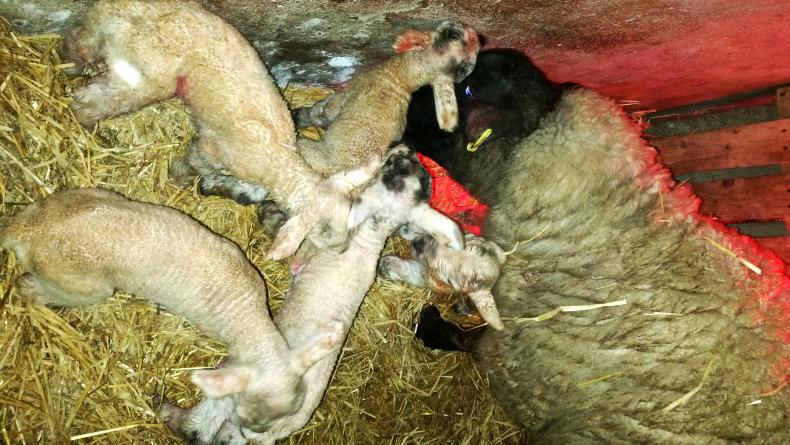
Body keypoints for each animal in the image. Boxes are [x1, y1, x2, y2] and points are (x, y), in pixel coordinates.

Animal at [0, 188, 344, 442]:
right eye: (242, 410)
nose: (252, 433)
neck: (247, 318)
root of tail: (28, 231)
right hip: (85, 286)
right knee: (56, 292)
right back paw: (29, 289)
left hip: (81, 196)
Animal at [65, 0, 351, 260]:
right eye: (324, 232)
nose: (341, 252)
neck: (278, 159)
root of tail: (128, 9)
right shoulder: (212, 150)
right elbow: (194, 162)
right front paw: (179, 177)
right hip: (142, 73)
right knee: (98, 100)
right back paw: (85, 120)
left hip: (103, 31)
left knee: (79, 41)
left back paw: (68, 64)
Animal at [162, 144, 466, 444]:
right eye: (410, 168)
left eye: (395, 167)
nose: (407, 148)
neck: (369, 236)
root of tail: (275, 430)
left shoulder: (308, 249)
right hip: (238, 429)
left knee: (200, 427)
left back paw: (167, 411)